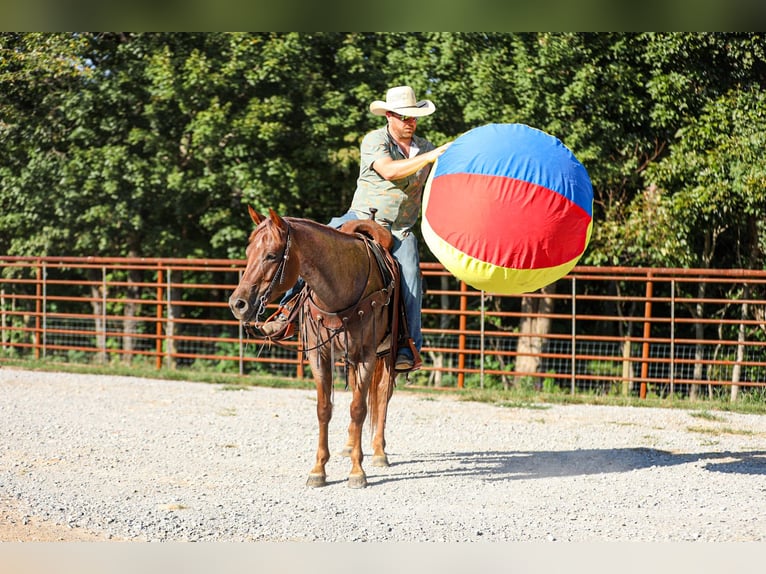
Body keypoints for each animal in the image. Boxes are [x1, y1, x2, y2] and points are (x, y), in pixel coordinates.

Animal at [229, 206, 400, 488]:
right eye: (248, 252)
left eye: (271, 255)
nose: (237, 304)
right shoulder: (319, 355)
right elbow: (324, 409)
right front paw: (319, 469)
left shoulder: (367, 355)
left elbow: (358, 408)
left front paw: (357, 471)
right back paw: (349, 446)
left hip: (386, 355)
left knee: (382, 395)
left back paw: (378, 452)